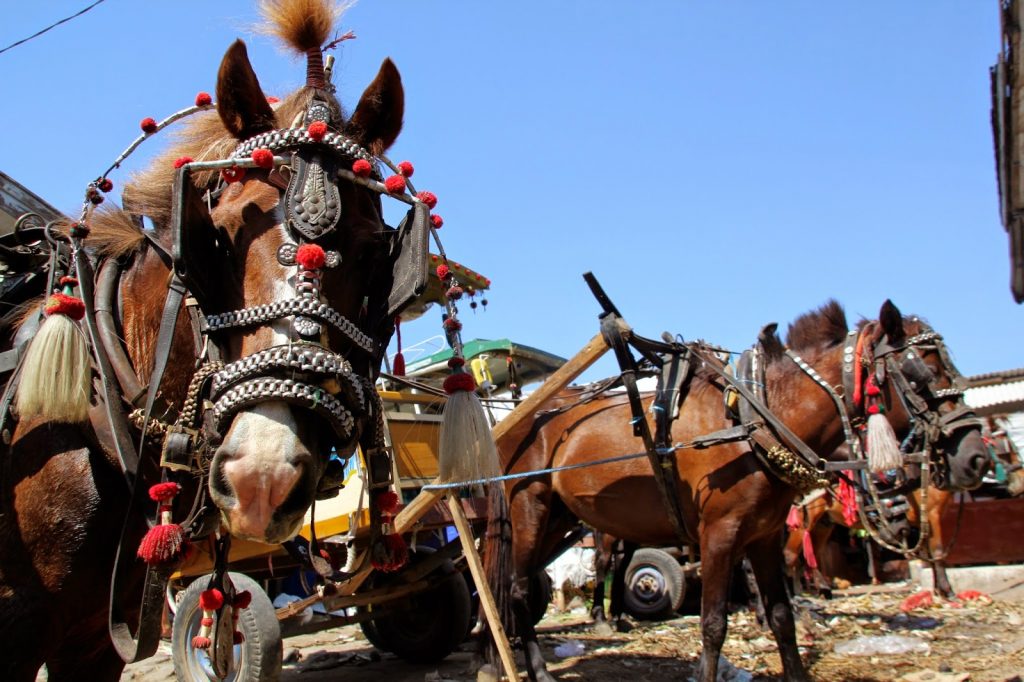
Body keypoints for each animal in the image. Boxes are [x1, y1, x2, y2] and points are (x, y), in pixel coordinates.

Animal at [491, 299, 987, 679]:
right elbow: (713, 625)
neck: (756, 421)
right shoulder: (719, 534)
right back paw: (538, 667)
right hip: (530, 507)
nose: (975, 457)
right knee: (519, 590)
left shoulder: (764, 536)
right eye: (924, 369)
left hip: (560, 517)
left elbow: (783, 619)